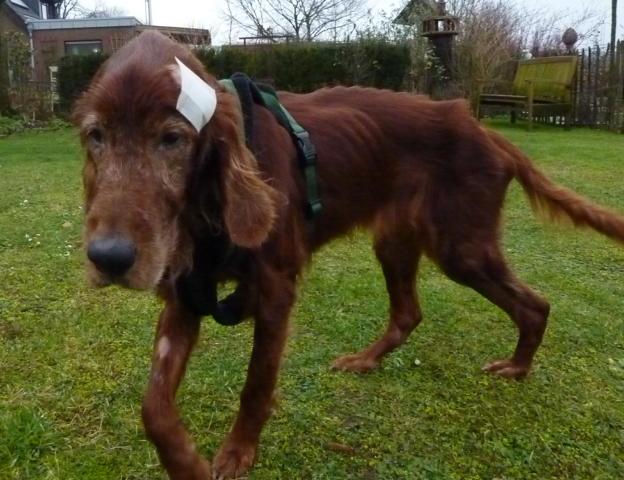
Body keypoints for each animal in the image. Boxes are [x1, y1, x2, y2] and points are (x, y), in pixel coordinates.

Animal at [74, 31, 624, 478]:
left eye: (172, 138)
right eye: (95, 136)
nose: (108, 258)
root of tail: (486, 130)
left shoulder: (275, 290)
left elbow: (256, 384)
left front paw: (236, 453)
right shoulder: (187, 292)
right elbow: (153, 407)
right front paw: (187, 463)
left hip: (461, 248)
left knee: (534, 304)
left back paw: (517, 367)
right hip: (397, 241)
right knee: (409, 313)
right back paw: (366, 360)